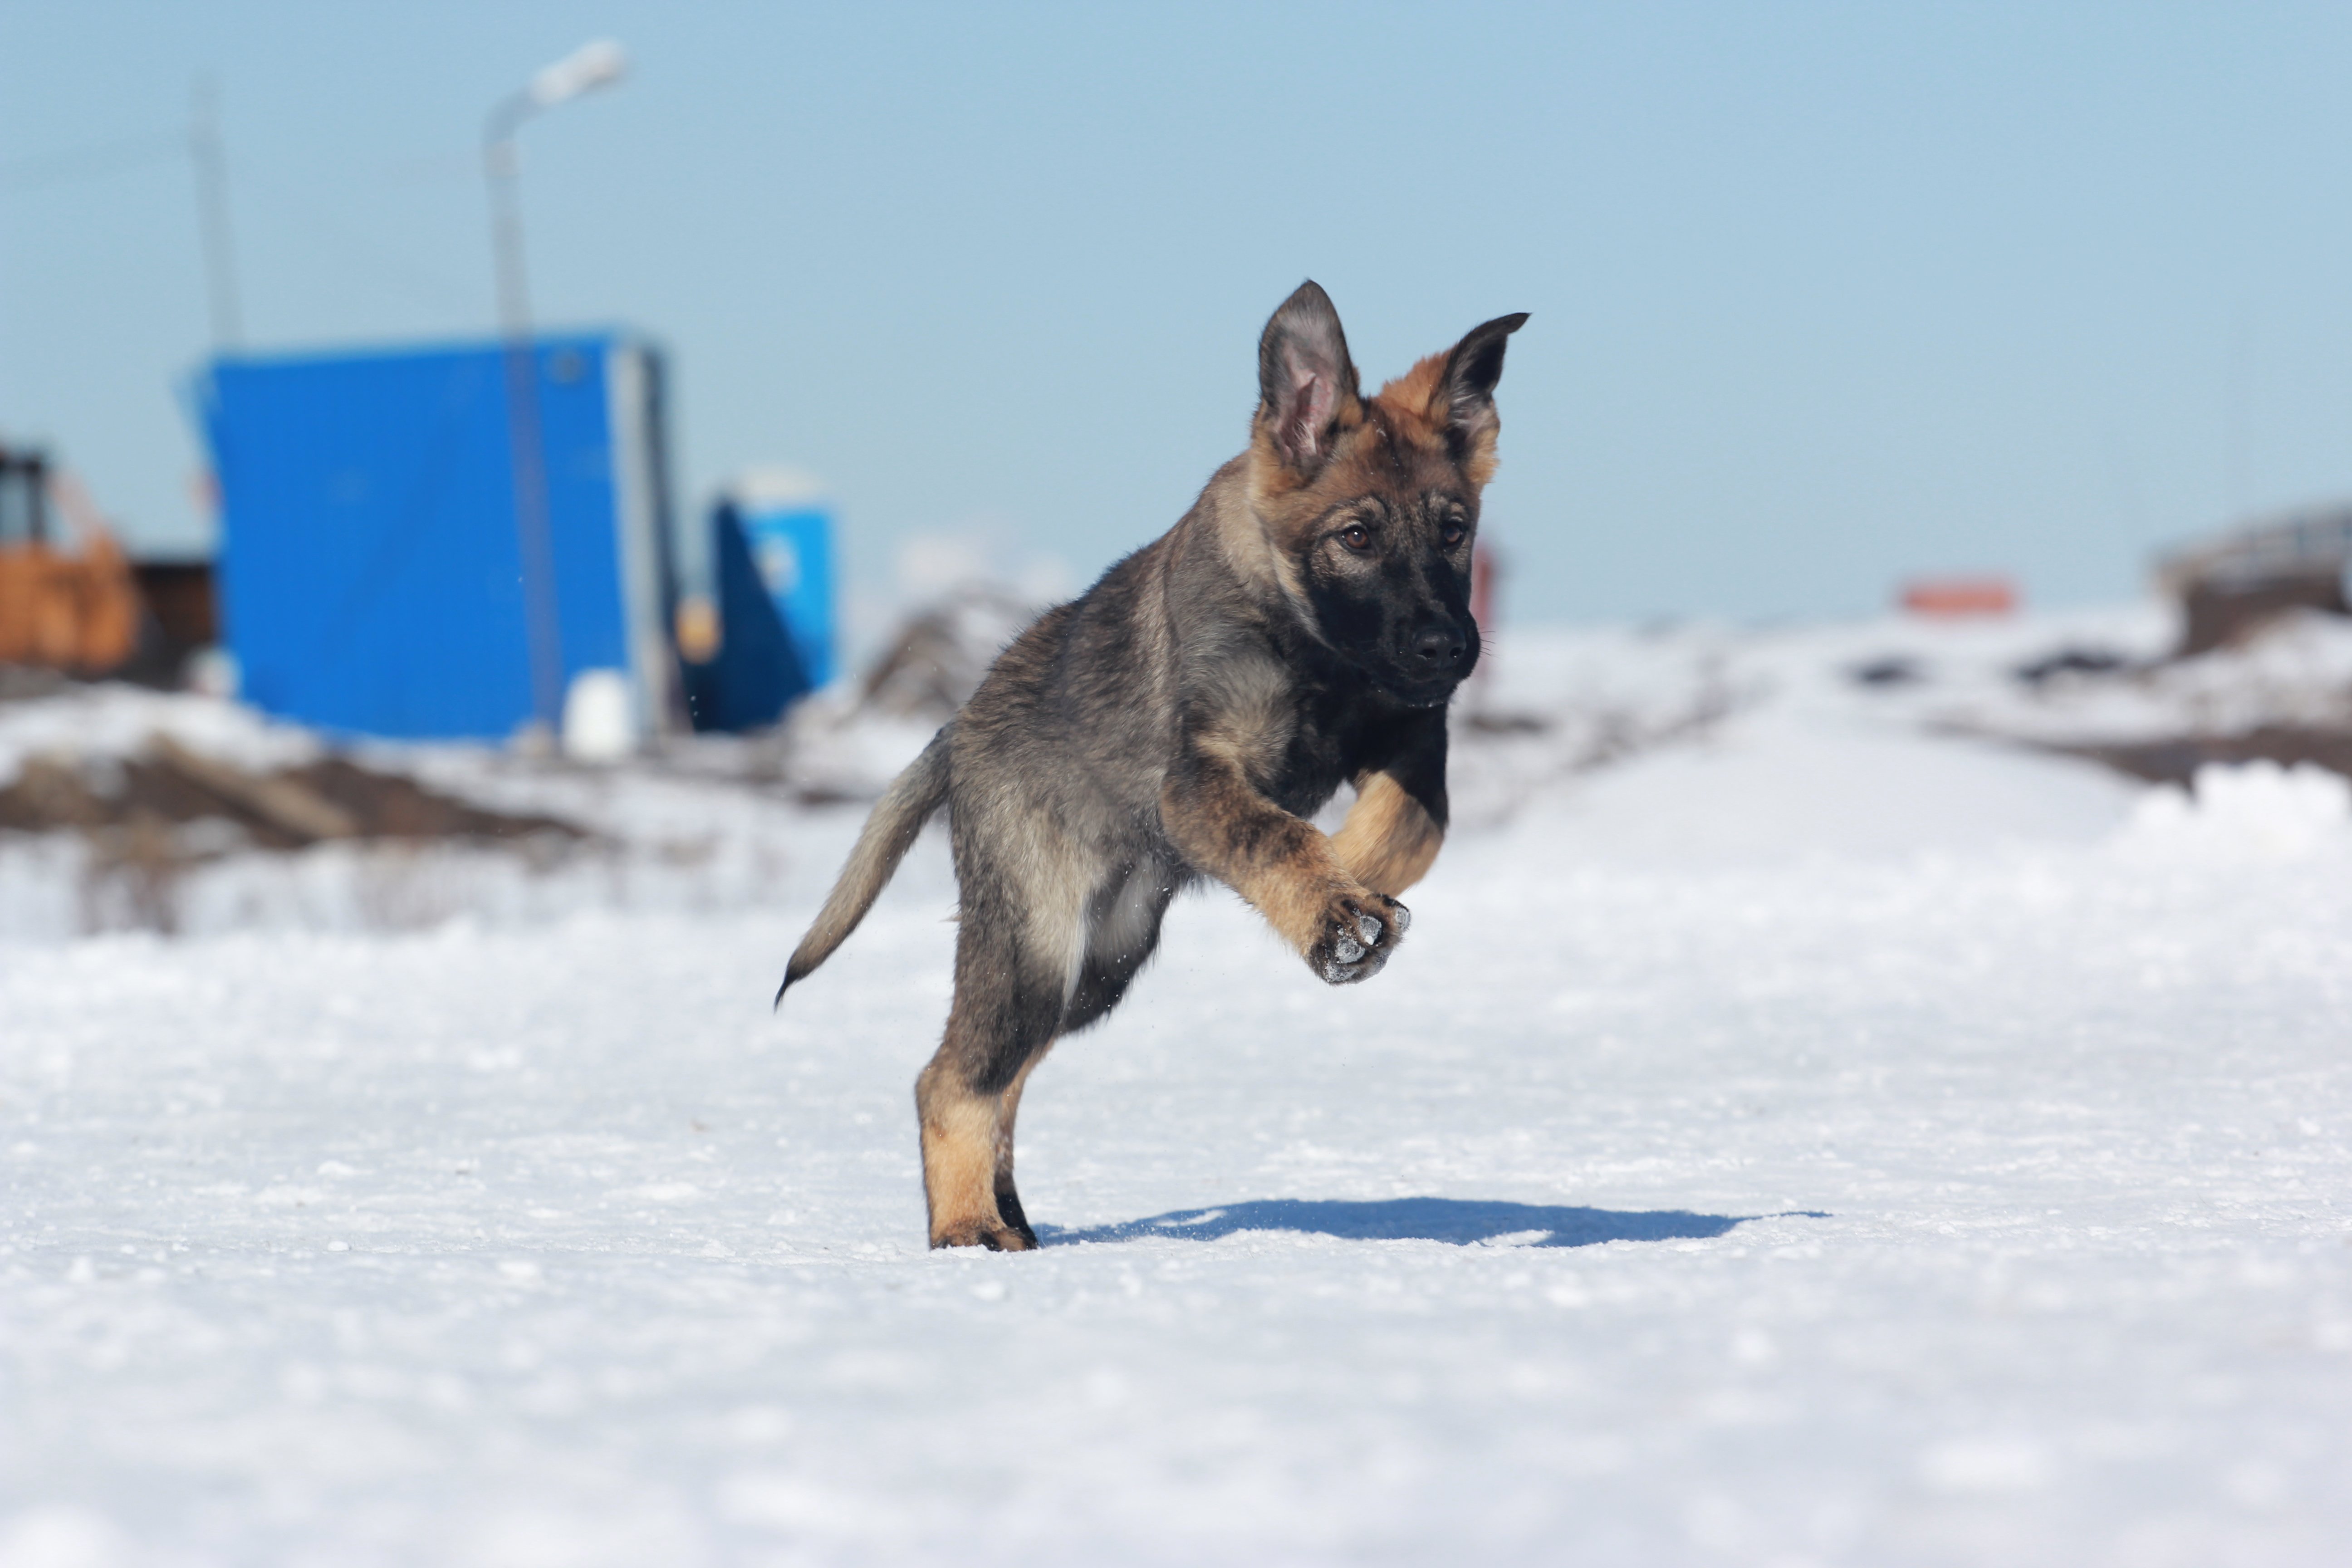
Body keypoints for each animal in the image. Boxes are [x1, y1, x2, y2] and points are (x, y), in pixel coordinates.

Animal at [781, 276, 1533, 1241]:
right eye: (1356, 537)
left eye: (1451, 531)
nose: (1448, 647)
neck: (1310, 647)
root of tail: (957, 728)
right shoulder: (1195, 781)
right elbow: (1272, 833)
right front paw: (1332, 909)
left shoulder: (1409, 733)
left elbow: (1413, 824)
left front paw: (1352, 880)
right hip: (1035, 944)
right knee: (951, 1077)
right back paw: (967, 1228)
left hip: (1102, 956)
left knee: (1006, 1073)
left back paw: (1006, 1212)